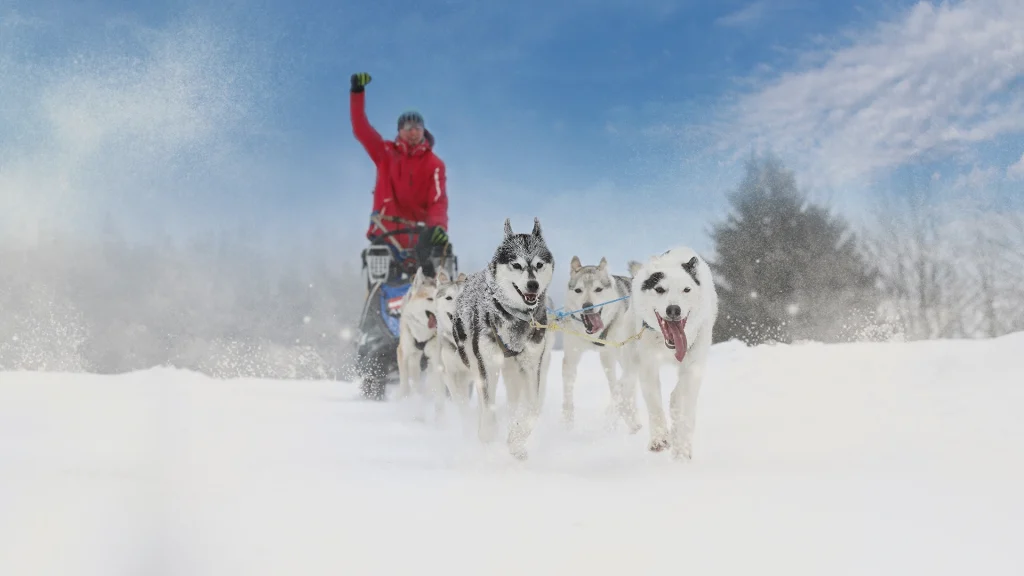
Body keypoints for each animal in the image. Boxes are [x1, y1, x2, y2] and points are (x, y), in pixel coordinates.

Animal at [454, 215, 557, 457]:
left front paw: (516, 440)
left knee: (515, 403)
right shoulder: (486, 365)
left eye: (539, 264)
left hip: (515, 373)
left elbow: (531, 410)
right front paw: (488, 437)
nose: (533, 284)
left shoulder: (532, 366)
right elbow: (488, 408)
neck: (516, 319)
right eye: (516, 264)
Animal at [561, 255, 638, 430]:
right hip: (608, 359)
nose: (587, 306)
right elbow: (568, 397)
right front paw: (567, 426)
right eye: (578, 290)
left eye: (598, 289)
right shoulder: (571, 358)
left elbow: (620, 389)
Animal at [622, 243, 720, 459]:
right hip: (631, 359)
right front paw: (659, 439)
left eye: (686, 289)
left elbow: (684, 407)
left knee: (677, 396)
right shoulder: (648, 365)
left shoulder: (694, 366)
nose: (673, 309)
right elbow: (654, 405)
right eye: (659, 289)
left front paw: (682, 449)